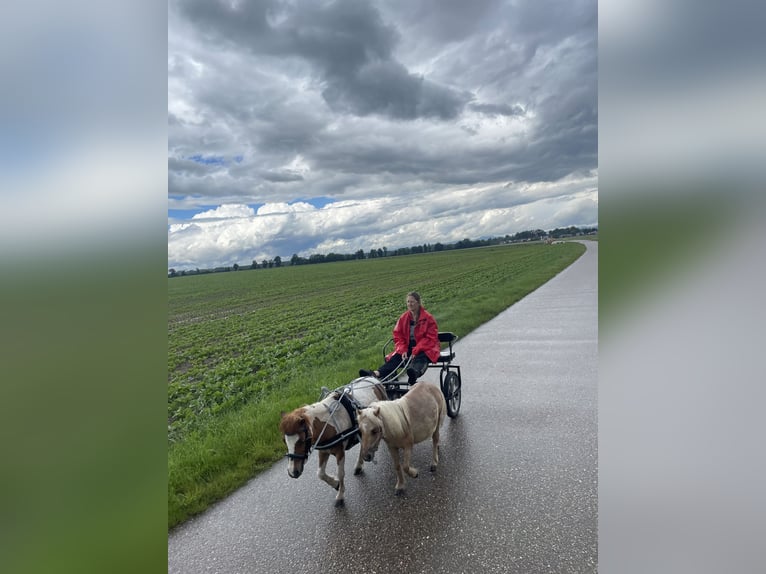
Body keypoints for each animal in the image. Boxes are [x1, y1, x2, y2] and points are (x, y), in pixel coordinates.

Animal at [280, 378, 390, 508]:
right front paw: (335, 484)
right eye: (284, 441)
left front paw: (340, 495)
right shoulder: (323, 451)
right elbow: (320, 473)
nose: (292, 472)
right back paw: (359, 465)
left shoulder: (339, 452)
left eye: (302, 440)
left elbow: (340, 473)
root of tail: (373, 379)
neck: (328, 423)